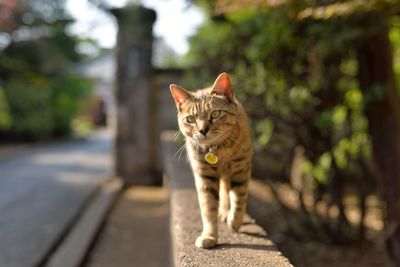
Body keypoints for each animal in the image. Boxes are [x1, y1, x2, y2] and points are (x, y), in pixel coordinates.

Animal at [170, 73, 252, 249]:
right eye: (191, 119)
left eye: (215, 114)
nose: (203, 130)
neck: (218, 150)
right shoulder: (204, 176)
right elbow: (208, 208)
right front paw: (210, 236)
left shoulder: (241, 168)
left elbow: (239, 197)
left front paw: (235, 221)